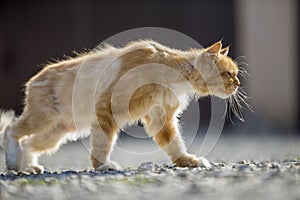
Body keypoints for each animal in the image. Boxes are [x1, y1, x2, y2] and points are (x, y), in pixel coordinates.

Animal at [0, 39, 243, 173]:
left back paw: (27, 165)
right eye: (229, 74)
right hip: (42, 119)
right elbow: (102, 144)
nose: (238, 84)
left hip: (56, 134)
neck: (172, 72)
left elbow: (174, 144)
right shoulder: (106, 108)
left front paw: (187, 161)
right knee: (11, 130)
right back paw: (13, 161)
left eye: (236, 74)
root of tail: (32, 80)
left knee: (28, 143)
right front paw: (102, 166)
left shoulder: (161, 118)